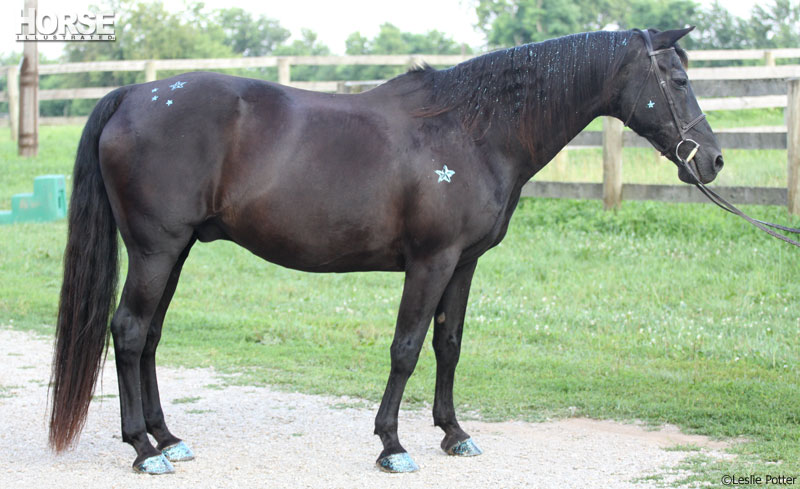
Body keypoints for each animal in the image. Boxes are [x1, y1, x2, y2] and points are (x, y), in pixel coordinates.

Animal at [49, 27, 723, 474]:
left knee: (149, 337)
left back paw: (167, 438)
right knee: (129, 331)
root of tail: (132, 95)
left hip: (176, 250)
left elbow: (448, 345)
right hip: (156, 251)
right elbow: (406, 349)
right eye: (680, 80)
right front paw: (392, 445)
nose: (713, 160)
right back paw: (142, 449)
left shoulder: (463, 264)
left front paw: (454, 433)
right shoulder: (430, 261)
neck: (471, 131)